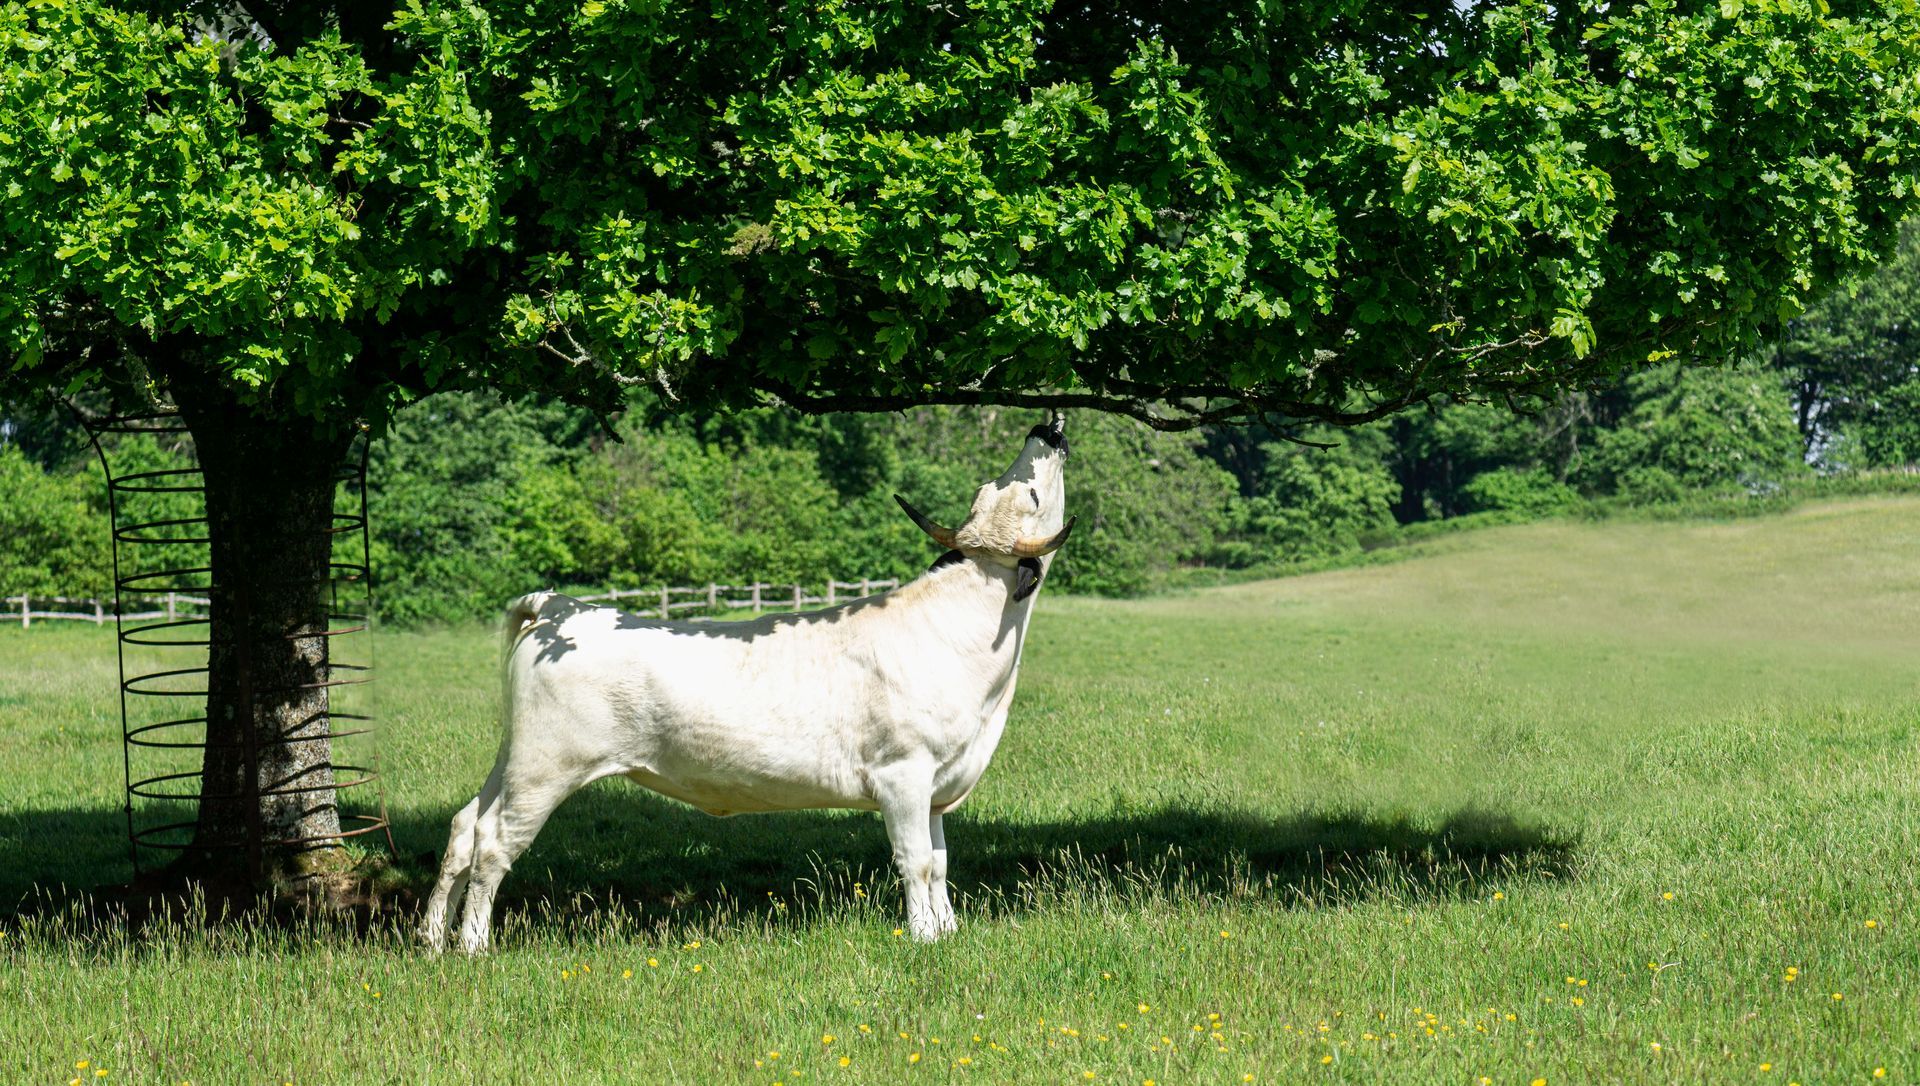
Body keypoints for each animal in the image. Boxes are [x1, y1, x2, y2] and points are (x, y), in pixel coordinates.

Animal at [420, 415, 1074, 952]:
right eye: (1029, 492)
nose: (1047, 425)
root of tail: (562, 605)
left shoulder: (940, 781)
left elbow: (940, 862)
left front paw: (946, 931)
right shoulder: (903, 772)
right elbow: (914, 861)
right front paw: (920, 939)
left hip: (515, 754)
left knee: (462, 827)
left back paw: (431, 940)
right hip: (546, 763)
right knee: (493, 841)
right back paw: (473, 946)